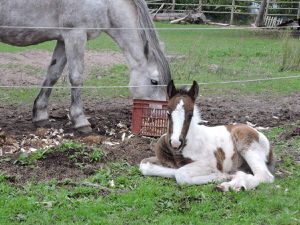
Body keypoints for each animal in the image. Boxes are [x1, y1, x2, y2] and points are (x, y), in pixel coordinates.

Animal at [0, 0, 170, 133]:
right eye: (154, 81)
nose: (163, 116)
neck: (106, 4)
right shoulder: (76, 35)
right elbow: (76, 77)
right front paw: (80, 121)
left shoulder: (63, 40)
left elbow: (53, 74)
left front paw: (40, 115)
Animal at [139, 81, 276, 192]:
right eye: (168, 113)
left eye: (190, 115)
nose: (175, 143)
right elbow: (144, 165)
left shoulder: (210, 163)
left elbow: (181, 174)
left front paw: (221, 176)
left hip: (248, 147)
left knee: (264, 176)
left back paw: (228, 185)